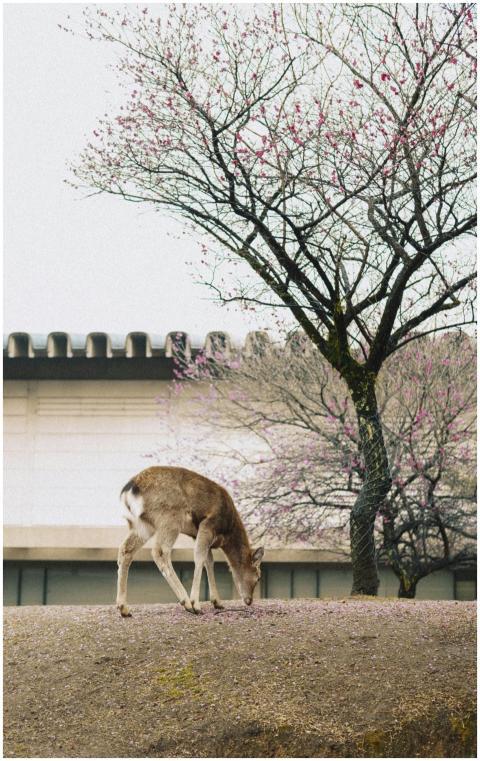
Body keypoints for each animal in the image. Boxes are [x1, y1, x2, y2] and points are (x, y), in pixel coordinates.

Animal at [116, 466, 264, 617]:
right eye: (258, 577)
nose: (249, 600)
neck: (228, 531)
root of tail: (131, 488)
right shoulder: (208, 524)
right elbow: (199, 558)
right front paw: (196, 604)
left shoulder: (196, 534)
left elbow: (209, 561)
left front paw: (217, 602)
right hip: (170, 518)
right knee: (160, 551)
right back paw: (186, 602)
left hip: (143, 525)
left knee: (126, 550)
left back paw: (124, 608)